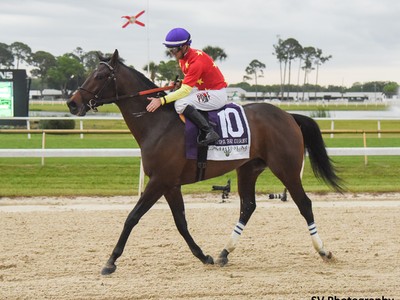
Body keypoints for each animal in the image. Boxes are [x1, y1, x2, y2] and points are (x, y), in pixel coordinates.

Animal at [67, 48, 342, 274]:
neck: (157, 124)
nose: (72, 103)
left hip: (286, 168)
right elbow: (180, 222)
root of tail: (288, 115)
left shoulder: (160, 181)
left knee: (304, 204)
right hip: (248, 169)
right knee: (248, 206)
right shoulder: (170, 184)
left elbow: (132, 217)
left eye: (100, 76)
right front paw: (204, 256)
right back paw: (224, 252)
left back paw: (323, 251)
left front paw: (110, 261)